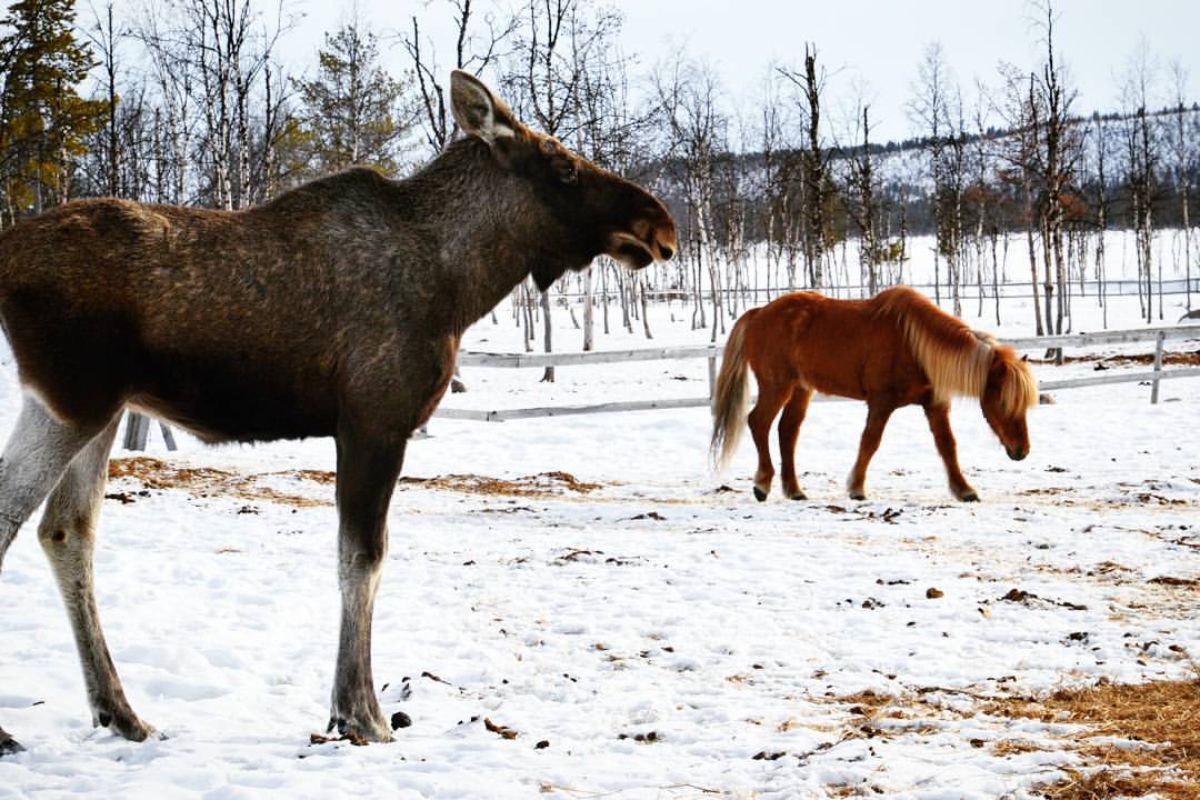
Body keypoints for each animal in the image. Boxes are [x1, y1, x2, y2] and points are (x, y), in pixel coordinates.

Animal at [0, 70, 676, 758]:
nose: (661, 226)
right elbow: (363, 561)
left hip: (103, 409)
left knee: (66, 531)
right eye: (563, 166)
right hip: (69, 400)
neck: (461, 283)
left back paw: (121, 712)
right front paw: (361, 713)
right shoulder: (375, 421)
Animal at [705, 286, 1036, 501]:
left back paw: (795, 490)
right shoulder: (881, 403)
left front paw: (964, 489)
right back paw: (762, 484)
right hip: (777, 385)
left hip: (801, 388)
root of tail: (759, 312)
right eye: (1003, 402)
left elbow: (947, 446)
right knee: (759, 422)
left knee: (787, 431)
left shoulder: (934, 404)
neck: (913, 343)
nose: (1022, 451)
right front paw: (856, 488)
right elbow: (870, 442)